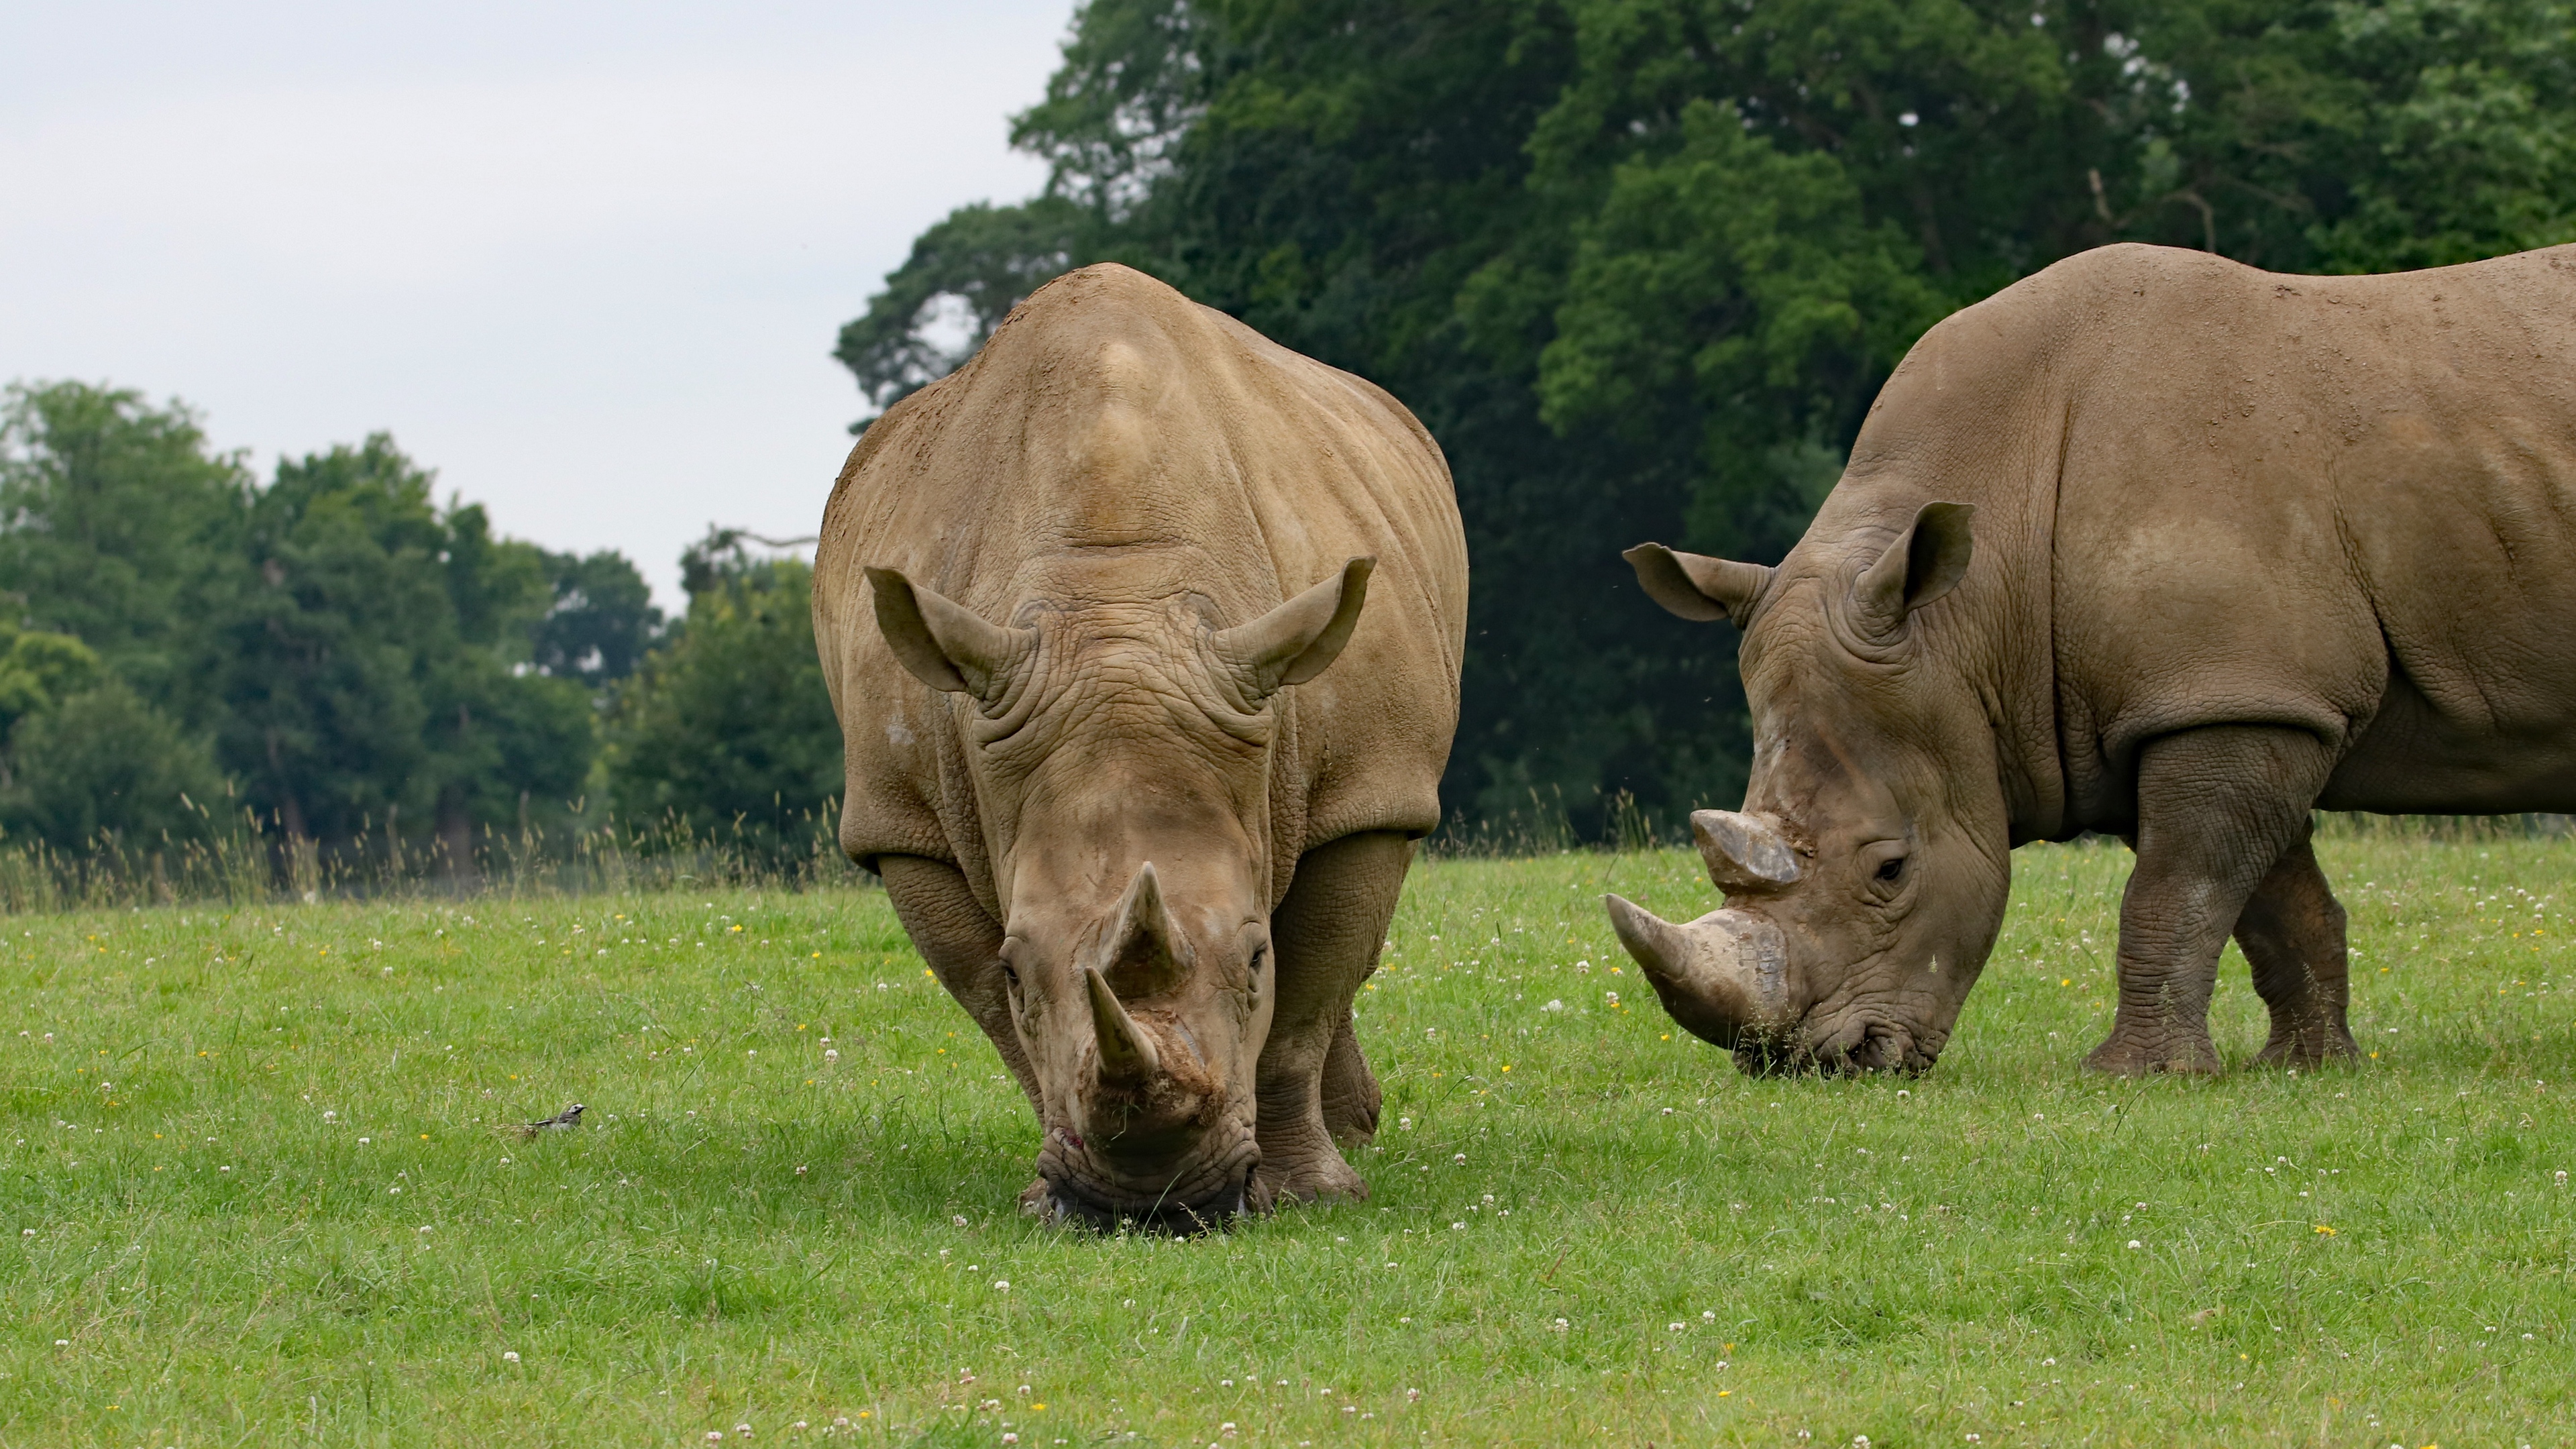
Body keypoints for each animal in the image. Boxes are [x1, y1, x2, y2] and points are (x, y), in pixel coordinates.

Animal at [814, 263, 1467, 1224]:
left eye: (1254, 957)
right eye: (1018, 967)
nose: (1151, 1206)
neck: (1115, 594)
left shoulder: (1373, 785)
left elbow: (1304, 1003)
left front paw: (1315, 1195)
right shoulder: (902, 824)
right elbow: (997, 1016)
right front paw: (1041, 1198)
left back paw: (1355, 1135)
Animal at [1609, 241, 2576, 1076]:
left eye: (1891, 869)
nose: (1817, 1065)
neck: (1971, 610)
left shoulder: (2231, 694)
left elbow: (2178, 886)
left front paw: (2135, 1076)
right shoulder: (2213, 695)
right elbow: (2269, 897)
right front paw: (2308, 1068)